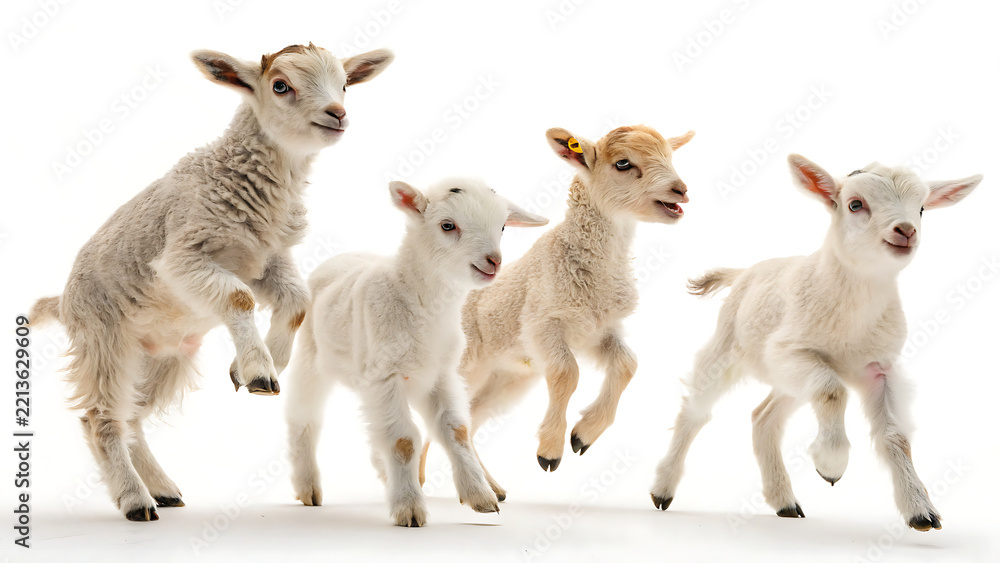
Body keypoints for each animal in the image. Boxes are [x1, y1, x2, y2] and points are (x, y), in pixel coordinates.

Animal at [28, 43, 394, 521]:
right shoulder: (185, 255)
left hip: (164, 357)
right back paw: (135, 499)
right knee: (101, 418)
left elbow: (298, 301)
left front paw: (263, 362)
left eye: (346, 84)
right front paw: (259, 371)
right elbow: (238, 299)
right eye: (281, 86)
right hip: (103, 339)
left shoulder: (266, 259)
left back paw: (163, 489)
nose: (337, 114)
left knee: (131, 418)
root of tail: (63, 301)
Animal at [285, 177, 548, 527]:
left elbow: (456, 431)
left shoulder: (440, 375)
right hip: (310, 358)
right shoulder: (386, 377)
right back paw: (308, 487)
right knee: (304, 418)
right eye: (448, 225)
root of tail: (338, 257)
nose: (494, 261)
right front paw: (409, 508)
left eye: (503, 226)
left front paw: (480, 497)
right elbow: (403, 441)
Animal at [425, 125, 695, 502]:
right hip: (466, 364)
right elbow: (567, 373)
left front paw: (584, 435)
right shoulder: (542, 323)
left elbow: (628, 364)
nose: (680, 190)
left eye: (669, 156)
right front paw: (551, 451)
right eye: (623, 163)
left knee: (472, 418)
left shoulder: (598, 330)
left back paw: (492, 489)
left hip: (508, 379)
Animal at [650, 154, 982, 531]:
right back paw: (663, 489)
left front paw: (920, 509)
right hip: (727, 350)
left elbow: (895, 435)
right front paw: (831, 464)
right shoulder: (790, 350)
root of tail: (745, 272)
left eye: (923, 208)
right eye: (855, 204)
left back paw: (783, 501)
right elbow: (833, 391)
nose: (906, 230)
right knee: (695, 412)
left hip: (788, 382)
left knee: (763, 417)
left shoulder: (880, 367)